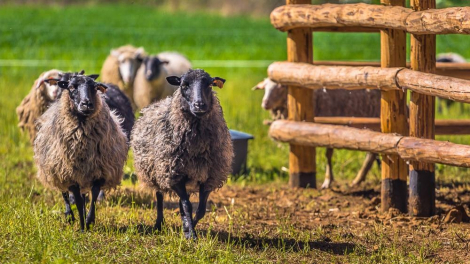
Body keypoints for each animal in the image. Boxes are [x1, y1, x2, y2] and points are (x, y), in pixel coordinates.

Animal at [34, 72, 127, 231]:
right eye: (71, 87)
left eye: (95, 87)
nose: (87, 104)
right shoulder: (70, 174)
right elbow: (76, 199)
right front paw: (82, 226)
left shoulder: (99, 171)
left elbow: (93, 197)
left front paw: (89, 220)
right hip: (57, 169)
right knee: (65, 193)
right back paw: (69, 216)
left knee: (83, 196)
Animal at [253, 78, 382, 190]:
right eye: (264, 87)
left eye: (280, 87)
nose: (265, 103)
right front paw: (328, 180)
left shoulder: (331, 128)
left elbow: (328, 155)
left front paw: (327, 181)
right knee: (372, 154)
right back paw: (358, 180)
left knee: (371, 154)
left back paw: (359, 179)